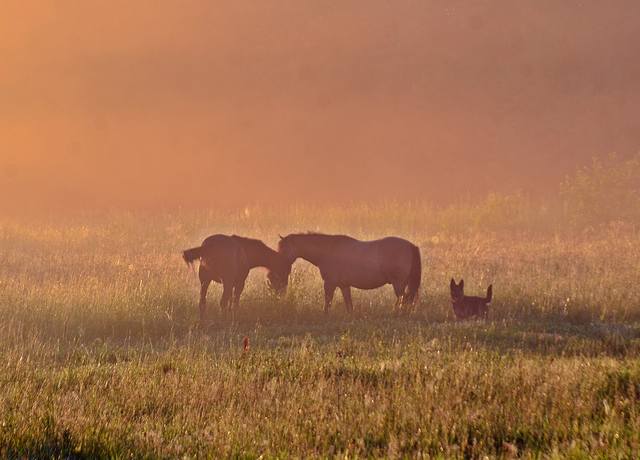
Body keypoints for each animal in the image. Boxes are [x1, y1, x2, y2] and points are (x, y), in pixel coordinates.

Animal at [272, 234, 422, 312]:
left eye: (283, 249)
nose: (278, 267)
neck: (328, 251)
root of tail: (411, 246)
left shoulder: (330, 284)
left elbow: (328, 301)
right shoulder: (344, 285)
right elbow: (348, 304)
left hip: (399, 284)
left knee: (403, 299)